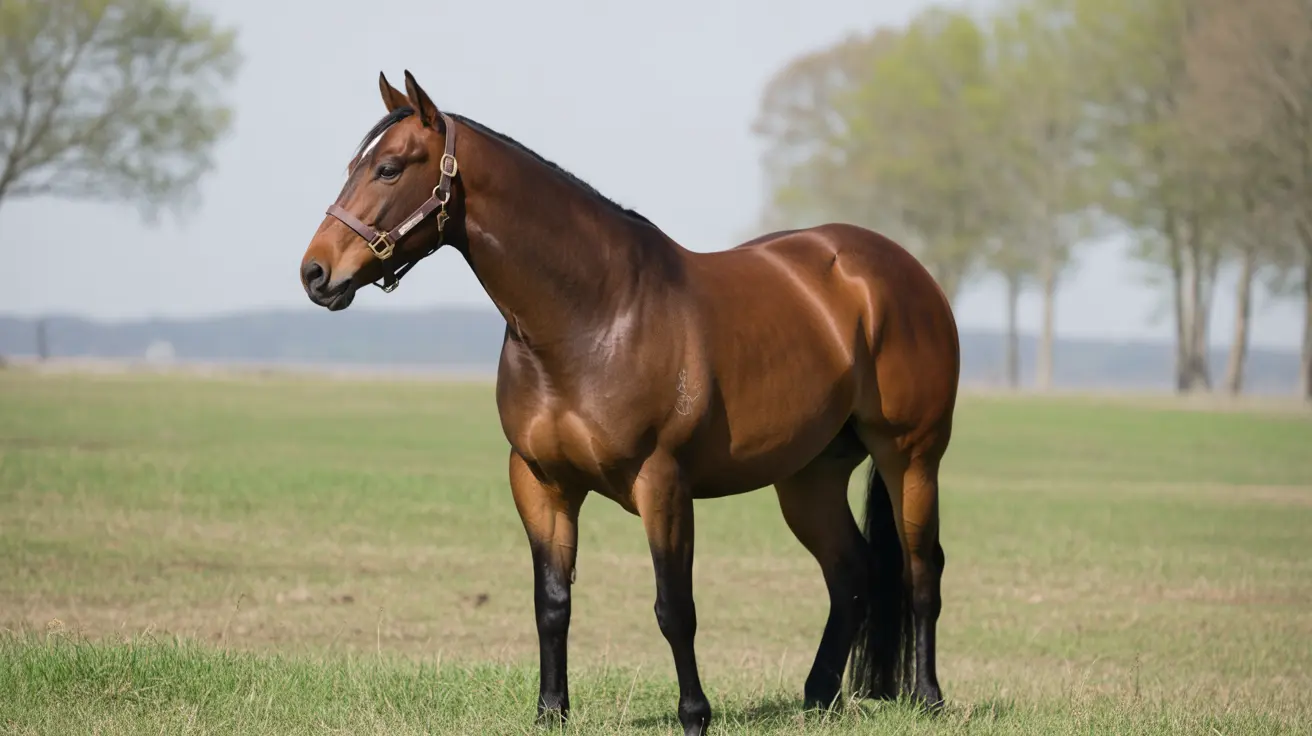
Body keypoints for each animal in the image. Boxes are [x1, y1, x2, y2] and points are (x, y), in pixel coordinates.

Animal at [299, 70, 959, 736]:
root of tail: (900, 271)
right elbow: (552, 603)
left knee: (920, 569)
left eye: (388, 168)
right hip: (808, 476)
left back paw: (928, 697)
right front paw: (551, 711)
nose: (315, 273)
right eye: (355, 165)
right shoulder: (540, 481)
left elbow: (675, 608)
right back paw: (819, 696)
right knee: (851, 572)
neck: (593, 315)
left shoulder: (661, 483)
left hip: (911, 458)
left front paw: (694, 716)